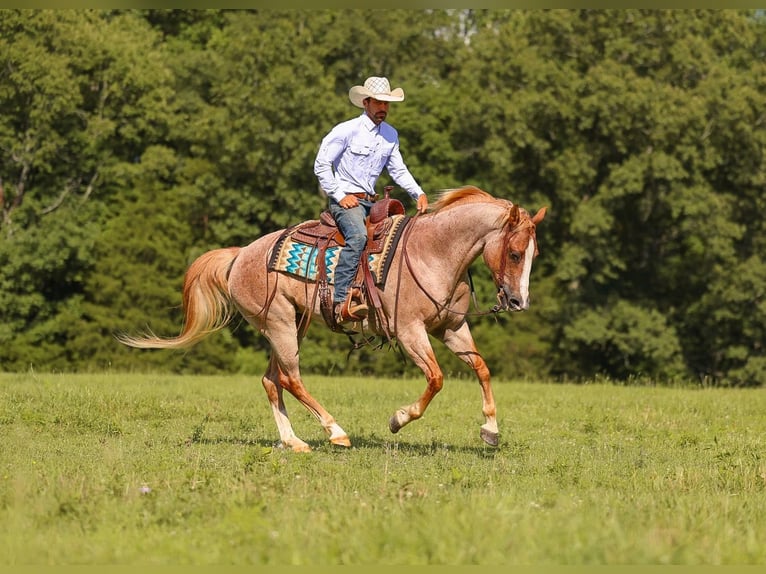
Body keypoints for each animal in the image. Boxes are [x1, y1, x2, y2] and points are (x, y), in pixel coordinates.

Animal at [118, 185, 546, 452]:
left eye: (534, 254)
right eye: (514, 253)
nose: (518, 301)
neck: (433, 253)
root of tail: (240, 255)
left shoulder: (452, 328)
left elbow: (482, 369)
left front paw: (490, 431)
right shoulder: (410, 332)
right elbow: (437, 379)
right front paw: (398, 419)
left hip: (291, 324)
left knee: (271, 381)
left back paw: (294, 442)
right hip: (279, 325)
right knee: (290, 379)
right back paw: (336, 432)